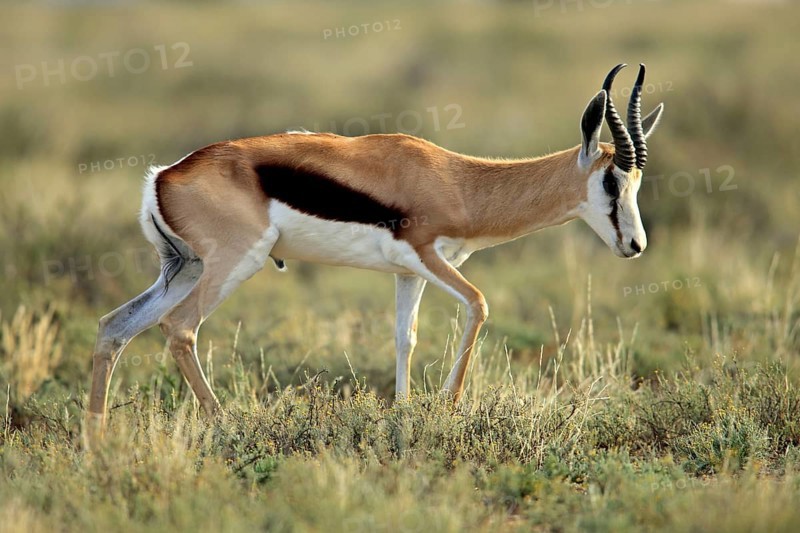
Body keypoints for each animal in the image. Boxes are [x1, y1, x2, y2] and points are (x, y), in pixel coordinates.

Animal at [87, 63, 663, 436]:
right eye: (611, 180)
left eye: (636, 180)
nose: (635, 245)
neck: (457, 182)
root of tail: (165, 175)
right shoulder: (429, 258)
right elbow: (479, 306)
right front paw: (447, 410)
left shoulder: (408, 274)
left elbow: (404, 339)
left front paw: (405, 417)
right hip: (232, 264)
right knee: (180, 328)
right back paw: (226, 427)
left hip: (184, 268)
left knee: (115, 327)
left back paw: (96, 445)